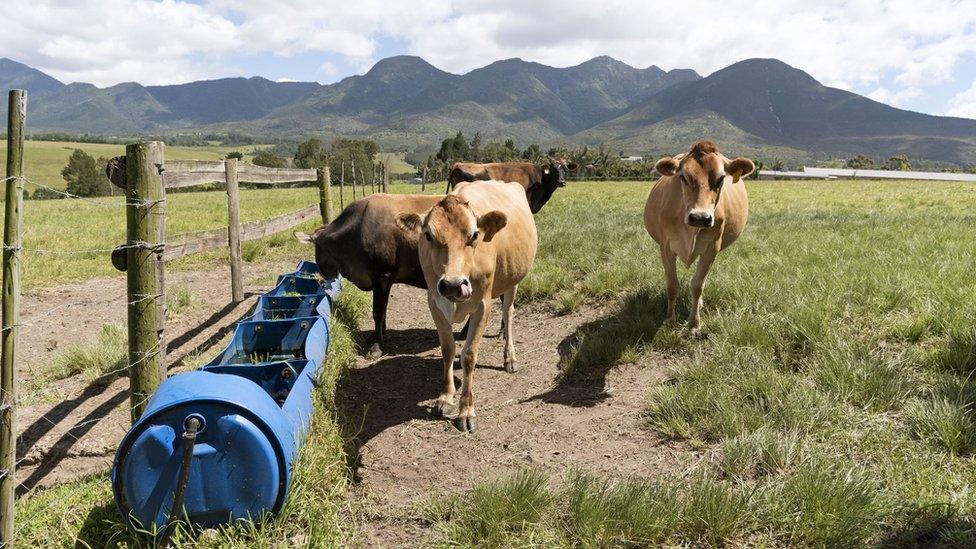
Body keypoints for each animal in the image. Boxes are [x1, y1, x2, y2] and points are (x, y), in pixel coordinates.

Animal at [292, 193, 440, 356]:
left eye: (317, 247)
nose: (323, 273)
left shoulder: (383, 274)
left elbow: (378, 312)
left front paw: (376, 345)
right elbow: (383, 311)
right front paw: (377, 335)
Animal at [392, 182, 536, 430]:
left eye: (475, 234)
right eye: (428, 235)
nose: (453, 284)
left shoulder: (483, 304)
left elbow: (470, 354)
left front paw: (466, 410)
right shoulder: (434, 302)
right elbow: (447, 348)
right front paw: (445, 397)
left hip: (513, 280)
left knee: (508, 313)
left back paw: (510, 358)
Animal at [648, 140, 756, 330]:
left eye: (721, 178)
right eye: (683, 177)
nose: (700, 217)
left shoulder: (711, 248)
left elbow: (697, 285)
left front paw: (694, 322)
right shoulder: (666, 246)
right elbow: (672, 285)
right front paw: (670, 320)